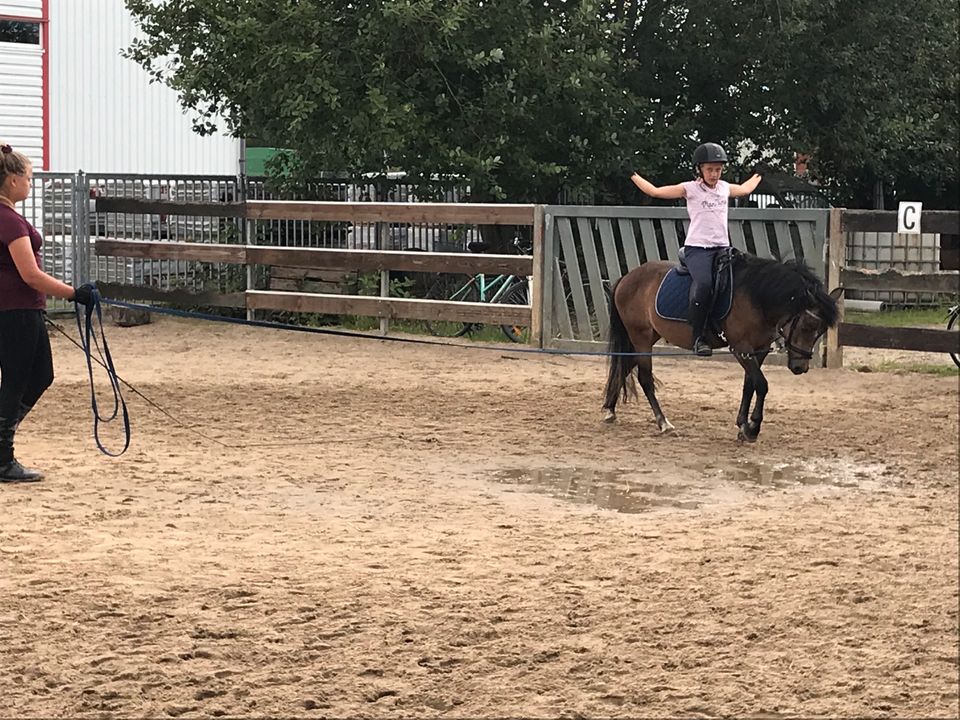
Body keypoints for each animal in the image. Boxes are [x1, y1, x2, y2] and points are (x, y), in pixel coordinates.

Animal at [604, 253, 836, 444]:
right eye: (807, 326)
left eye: (820, 331)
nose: (800, 367)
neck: (755, 296)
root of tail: (627, 277)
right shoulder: (741, 347)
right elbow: (761, 385)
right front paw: (753, 428)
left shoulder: (758, 349)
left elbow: (749, 385)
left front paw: (743, 425)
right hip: (641, 338)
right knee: (645, 379)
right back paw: (663, 423)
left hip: (647, 337)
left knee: (624, 367)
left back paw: (609, 409)